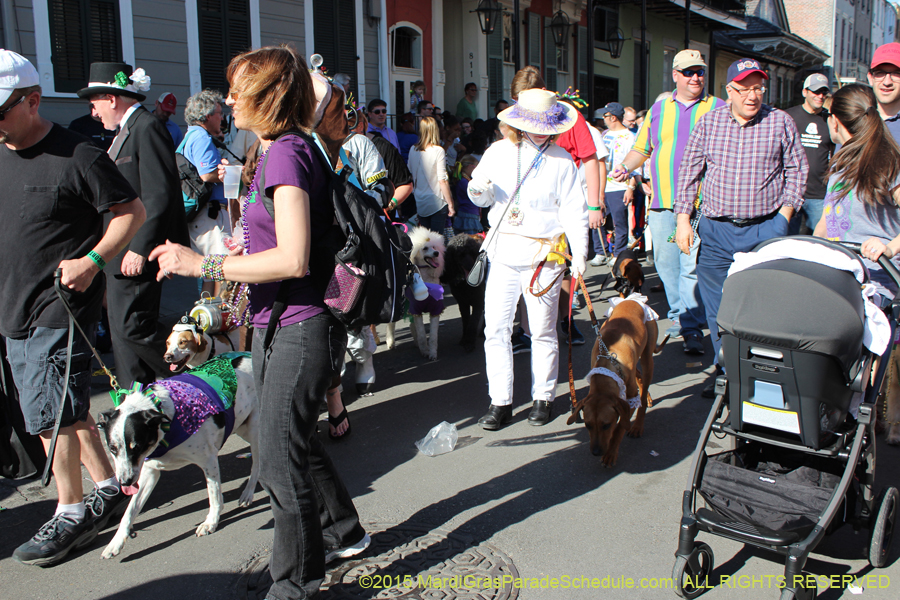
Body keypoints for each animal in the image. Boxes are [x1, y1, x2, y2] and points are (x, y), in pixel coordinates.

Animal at [99, 352, 260, 556]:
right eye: (112, 449)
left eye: (137, 447)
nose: (125, 482)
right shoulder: (149, 472)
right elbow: (129, 511)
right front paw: (116, 542)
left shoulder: (208, 460)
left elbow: (214, 495)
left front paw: (211, 522)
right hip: (242, 426)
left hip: (254, 429)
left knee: (257, 463)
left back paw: (248, 493)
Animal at [384, 227, 444, 360]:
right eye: (425, 248)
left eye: (434, 247)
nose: (436, 253)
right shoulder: (416, 309)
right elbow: (422, 334)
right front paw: (425, 351)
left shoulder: (435, 309)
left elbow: (433, 336)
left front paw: (432, 353)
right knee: (391, 324)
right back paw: (391, 342)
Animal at [568, 298, 656, 464]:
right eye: (588, 425)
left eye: (606, 425)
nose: (596, 452)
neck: (607, 364)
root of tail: (632, 299)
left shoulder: (630, 399)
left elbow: (620, 427)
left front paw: (610, 453)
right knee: (639, 376)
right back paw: (647, 398)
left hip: (647, 356)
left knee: (644, 386)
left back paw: (638, 425)